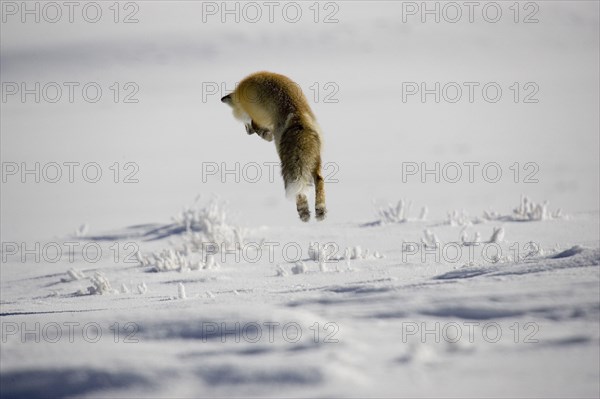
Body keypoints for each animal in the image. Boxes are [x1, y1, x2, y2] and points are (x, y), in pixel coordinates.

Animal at [220, 72, 326, 222]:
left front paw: (265, 135)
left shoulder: (257, 116)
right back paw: (320, 210)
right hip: (315, 158)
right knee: (319, 179)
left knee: (299, 188)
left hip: (285, 156)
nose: (247, 132)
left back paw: (303, 211)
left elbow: (256, 125)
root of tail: (298, 117)